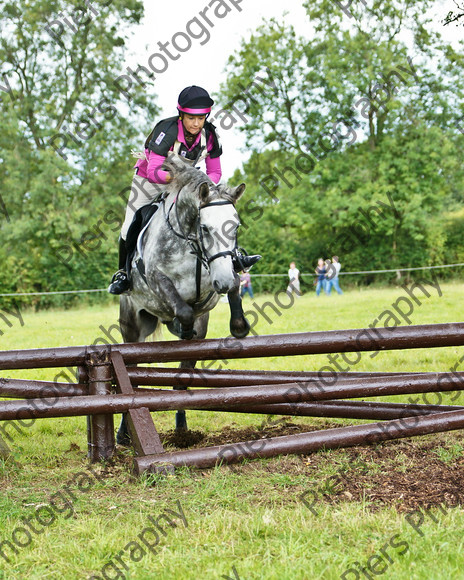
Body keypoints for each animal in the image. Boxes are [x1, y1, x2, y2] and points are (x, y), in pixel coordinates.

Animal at [118, 152, 252, 442]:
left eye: (235, 227)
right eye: (205, 227)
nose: (223, 281)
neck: (188, 239)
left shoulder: (217, 278)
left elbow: (234, 284)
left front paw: (239, 326)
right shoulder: (157, 279)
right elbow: (183, 308)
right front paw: (183, 324)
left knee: (182, 377)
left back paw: (181, 430)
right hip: (132, 327)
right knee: (129, 374)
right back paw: (123, 434)